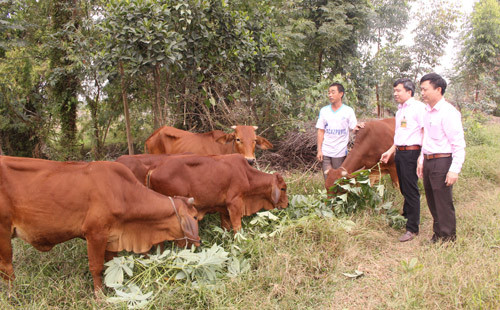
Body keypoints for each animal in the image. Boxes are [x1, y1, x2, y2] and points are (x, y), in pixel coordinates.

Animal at [0, 155, 199, 296]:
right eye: (195, 217)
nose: (198, 243)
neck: (123, 193)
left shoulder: (112, 237)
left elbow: (111, 265)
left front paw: (112, 288)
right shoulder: (95, 234)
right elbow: (96, 267)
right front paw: (99, 297)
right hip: (3, 231)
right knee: (7, 268)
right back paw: (12, 296)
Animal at [116, 154, 288, 231]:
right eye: (283, 188)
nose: (286, 204)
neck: (247, 175)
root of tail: (154, 169)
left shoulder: (224, 208)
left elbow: (226, 226)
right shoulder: (235, 203)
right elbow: (237, 227)